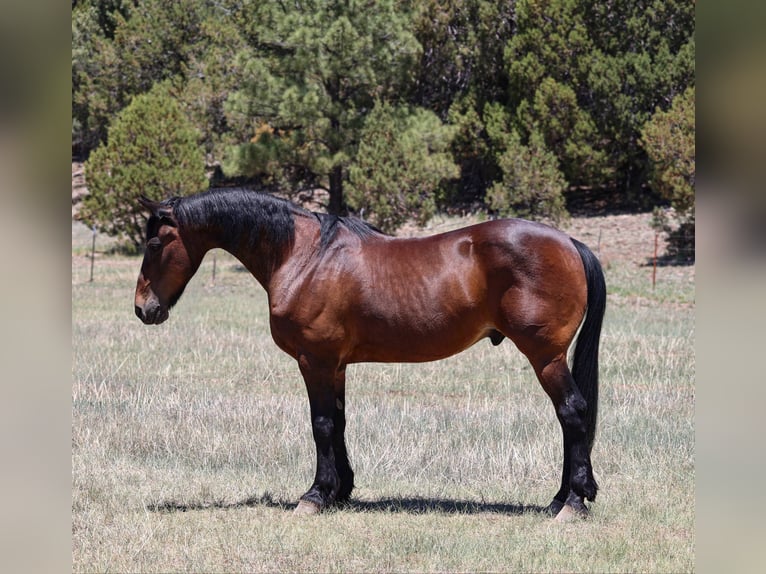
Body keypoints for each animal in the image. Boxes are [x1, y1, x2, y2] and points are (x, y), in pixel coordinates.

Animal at [134, 188, 606, 521]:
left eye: (155, 244)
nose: (143, 309)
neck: (305, 256)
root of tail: (569, 242)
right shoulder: (336, 366)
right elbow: (339, 423)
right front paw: (340, 491)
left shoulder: (315, 361)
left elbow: (321, 424)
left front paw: (314, 495)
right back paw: (559, 499)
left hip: (546, 357)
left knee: (572, 413)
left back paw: (572, 503)